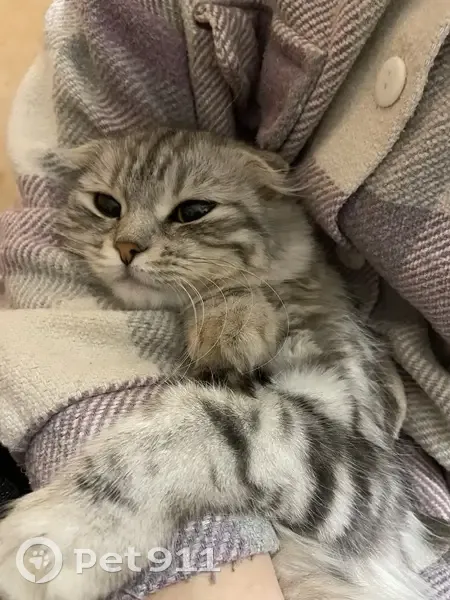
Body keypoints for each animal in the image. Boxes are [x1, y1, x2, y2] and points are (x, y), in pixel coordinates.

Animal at [0, 128, 438, 600]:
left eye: (192, 212)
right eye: (107, 206)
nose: (125, 248)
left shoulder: (360, 465)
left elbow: (204, 426)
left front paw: (54, 536)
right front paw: (232, 321)